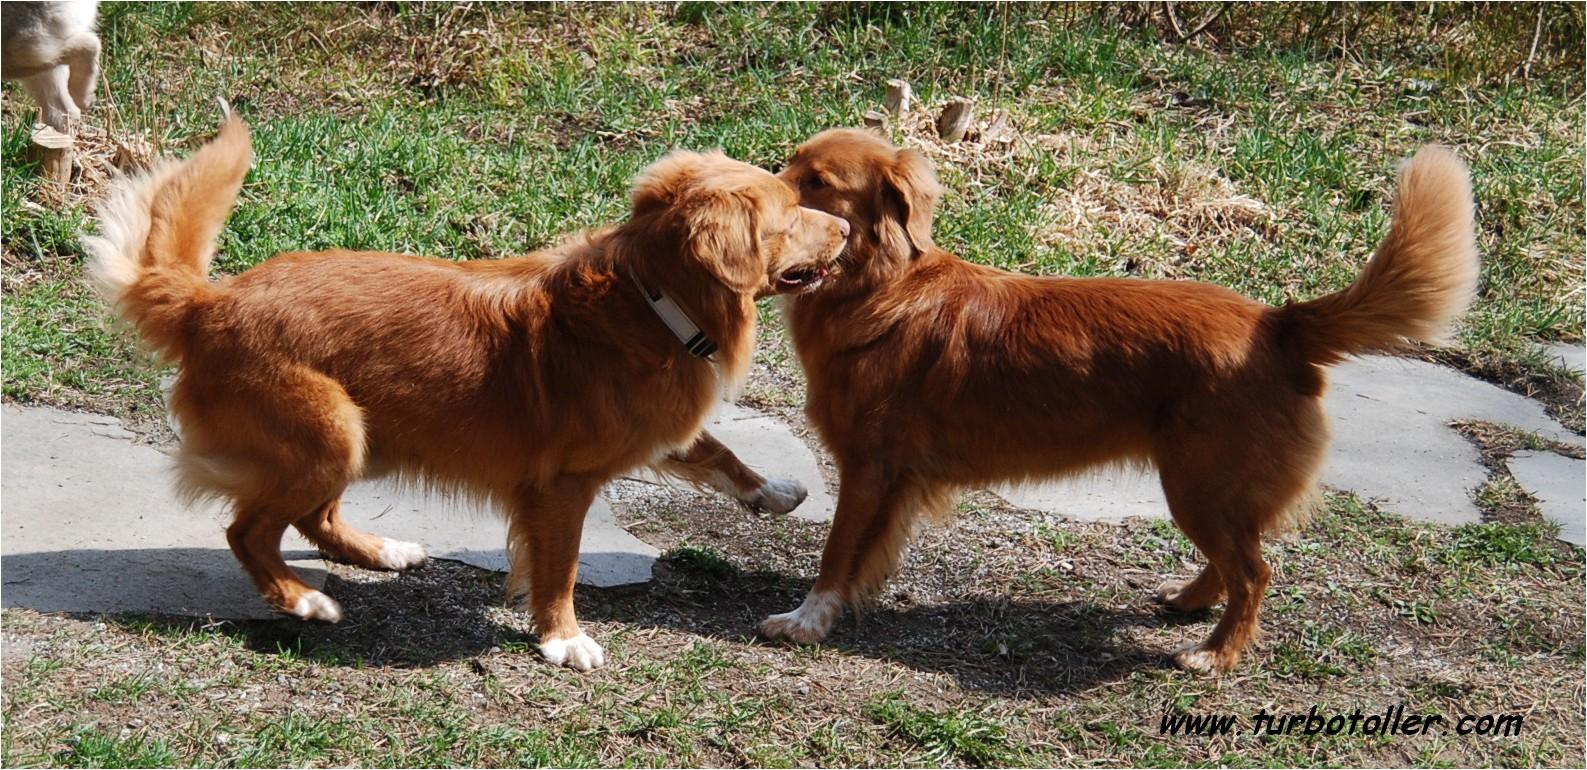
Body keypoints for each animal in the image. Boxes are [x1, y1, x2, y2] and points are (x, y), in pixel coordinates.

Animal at [83, 116, 856, 669]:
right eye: (792, 213)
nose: (849, 228)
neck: (651, 297)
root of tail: (209, 303)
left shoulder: (656, 429)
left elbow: (716, 451)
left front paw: (772, 491)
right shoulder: (563, 486)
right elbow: (560, 569)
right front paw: (561, 638)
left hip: (354, 436)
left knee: (311, 517)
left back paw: (378, 552)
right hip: (329, 431)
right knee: (248, 530)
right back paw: (302, 601)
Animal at [749, 129, 1479, 669]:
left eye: (817, 182)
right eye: (789, 165)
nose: (755, 194)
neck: (880, 289)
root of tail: (1279, 323)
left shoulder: (867, 469)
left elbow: (836, 552)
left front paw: (806, 620)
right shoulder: (895, 481)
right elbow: (867, 554)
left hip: (1199, 484)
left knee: (1254, 572)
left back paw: (1214, 656)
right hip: (1205, 489)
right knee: (1235, 561)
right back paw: (1189, 602)